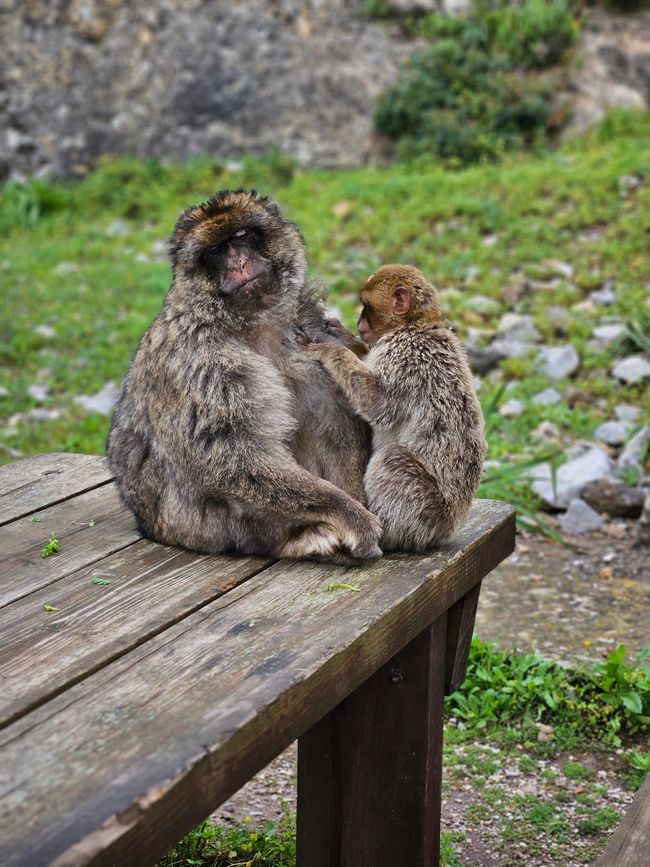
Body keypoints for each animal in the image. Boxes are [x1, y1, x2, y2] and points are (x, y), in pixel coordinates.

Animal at [107, 190, 382, 565]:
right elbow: (232, 459)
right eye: (215, 251)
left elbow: (340, 426)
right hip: (195, 527)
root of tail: (148, 527)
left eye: (241, 236)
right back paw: (297, 541)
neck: (252, 324)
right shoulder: (199, 363)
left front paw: (356, 501)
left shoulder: (315, 330)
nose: (238, 263)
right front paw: (350, 513)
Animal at [307, 264, 487, 551]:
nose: (359, 323)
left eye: (366, 306)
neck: (415, 325)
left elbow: (379, 404)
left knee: (392, 459)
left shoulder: (405, 357)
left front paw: (331, 350)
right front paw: (344, 337)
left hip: (424, 511)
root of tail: (449, 528)